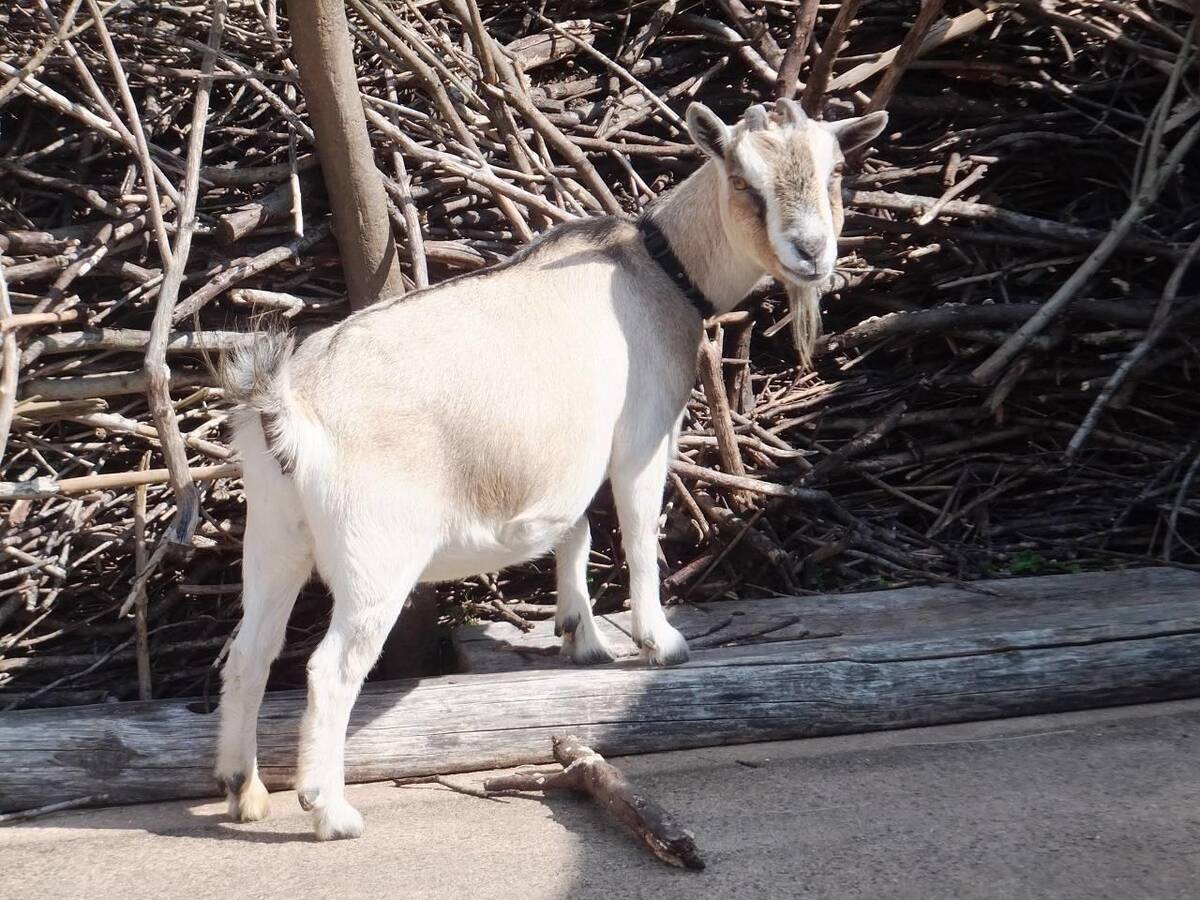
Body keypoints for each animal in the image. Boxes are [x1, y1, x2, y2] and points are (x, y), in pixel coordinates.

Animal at [216, 102, 892, 844]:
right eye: (743, 179)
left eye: (836, 170)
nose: (812, 253)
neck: (655, 269)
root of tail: (290, 404)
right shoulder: (642, 435)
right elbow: (638, 536)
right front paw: (661, 642)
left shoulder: (573, 455)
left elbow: (575, 532)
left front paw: (582, 638)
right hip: (376, 556)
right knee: (330, 669)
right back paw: (330, 812)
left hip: (275, 532)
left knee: (250, 649)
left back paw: (243, 791)